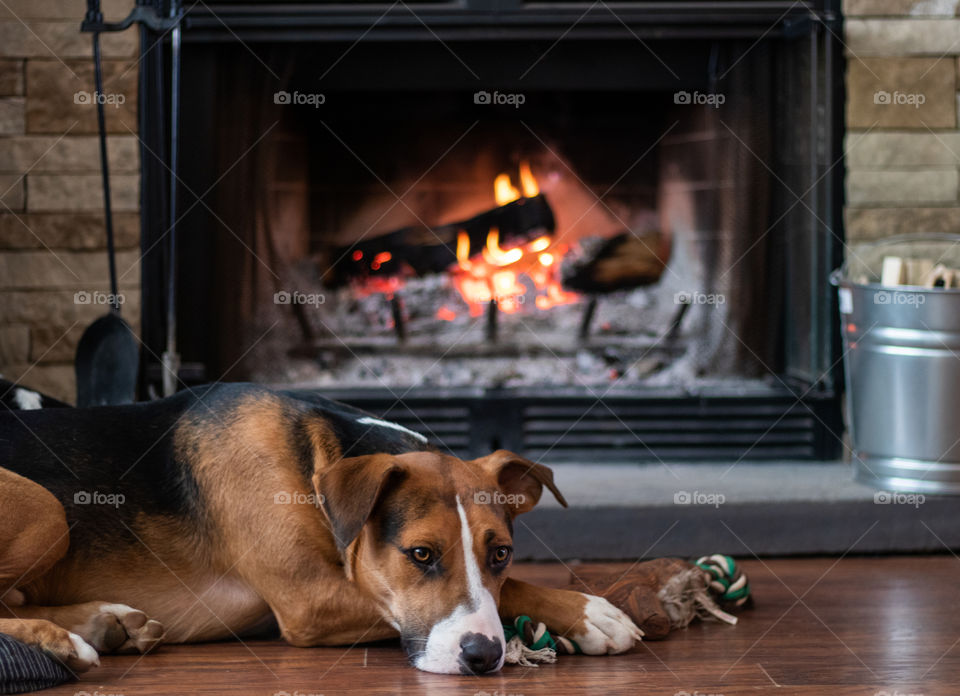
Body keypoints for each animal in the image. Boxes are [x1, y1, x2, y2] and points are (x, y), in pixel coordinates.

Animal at [1, 380, 644, 676]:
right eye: (420, 554)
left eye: (502, 553)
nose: (484, 656)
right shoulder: (310, 603)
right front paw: (584, 614)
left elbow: (508, 590)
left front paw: (587, 611)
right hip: (44, 507)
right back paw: (65, 641)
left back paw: (106, 623)